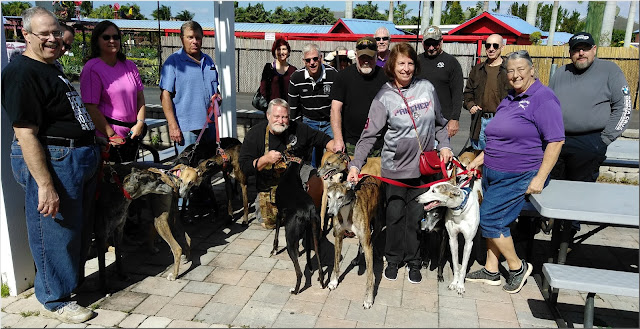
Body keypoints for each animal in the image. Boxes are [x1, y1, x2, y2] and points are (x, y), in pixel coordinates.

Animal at [328, 176, 382, 308]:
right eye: (328, 196)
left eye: (340, 197)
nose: (330, 214)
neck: (347, 209)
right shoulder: (338, 237)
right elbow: (336, 262)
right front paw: (333, 281)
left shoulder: (367, 244)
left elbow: (370, 276)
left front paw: (368, 299)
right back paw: (357, 258)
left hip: (377, 225)